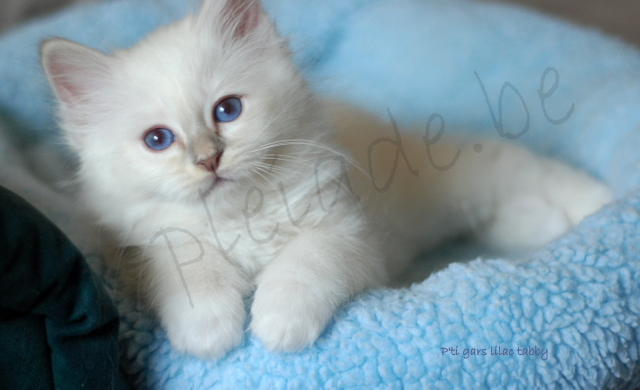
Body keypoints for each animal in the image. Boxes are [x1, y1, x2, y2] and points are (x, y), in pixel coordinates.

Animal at [41, 0, 616, 360]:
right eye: (158, 140)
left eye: (227, 110)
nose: (209, 159)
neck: (243, 215)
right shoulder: (142, 248)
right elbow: (190, 272)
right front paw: (209, 332)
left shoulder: (346, 233)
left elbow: (303, 265)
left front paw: (277, 325)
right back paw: (546, 223)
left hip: (457, 173)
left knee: (518, 170)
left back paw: (600, 205)